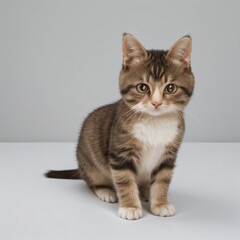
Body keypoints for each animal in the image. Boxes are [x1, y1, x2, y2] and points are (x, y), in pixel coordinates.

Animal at [45, 32, 195, 220]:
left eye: (170, 88)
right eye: (142, 87)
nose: (156, 103)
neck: (154, 122)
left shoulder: (168, 155)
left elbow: (162, 180)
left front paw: (160, 203)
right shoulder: (120, 153)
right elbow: (125, 180)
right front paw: (130, 206)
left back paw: (146, 191)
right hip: (90, 162)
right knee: (93, 180)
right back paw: (105, 190)